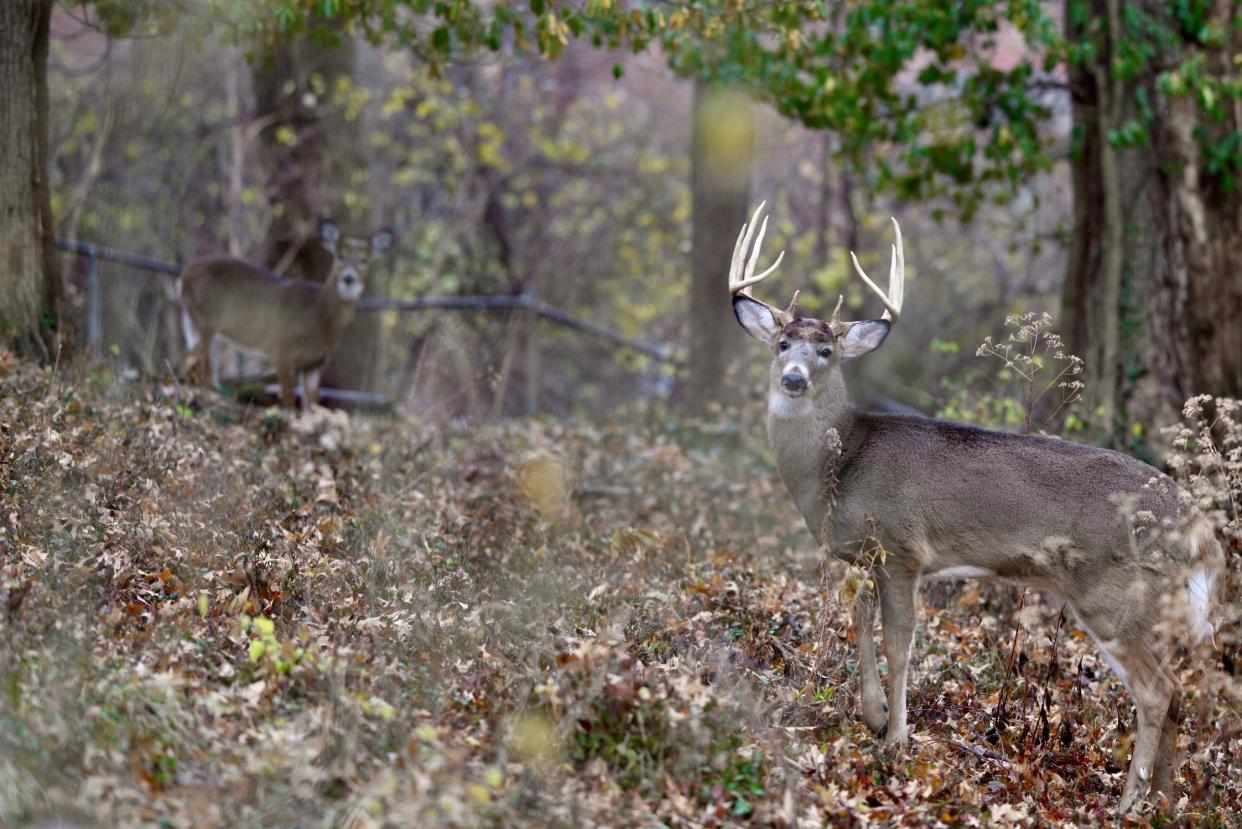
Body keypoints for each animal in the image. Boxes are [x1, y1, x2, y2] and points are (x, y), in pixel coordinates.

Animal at [178, 222, 392, 410]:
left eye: (364, 260)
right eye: (340, 256)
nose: (348, 278)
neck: (319, 315)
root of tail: (184, 275)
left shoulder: (314, 364)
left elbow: (312, 401)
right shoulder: (282, 349)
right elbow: (289, 399)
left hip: (207, 328)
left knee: (206, 370)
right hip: (205, 318)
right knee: (191, 359)